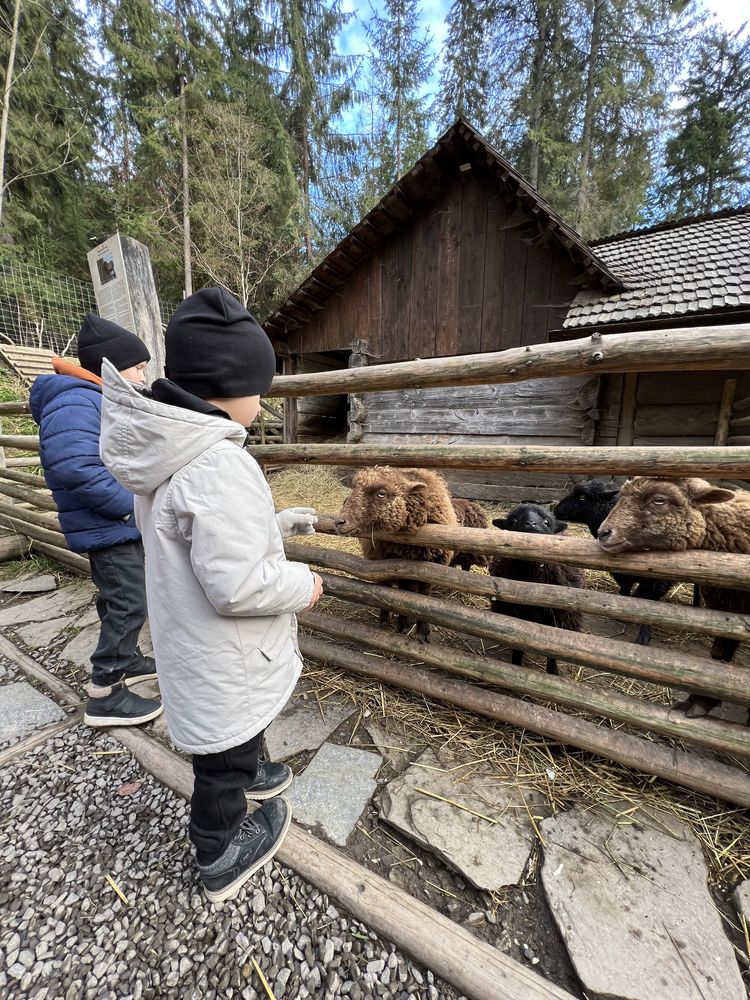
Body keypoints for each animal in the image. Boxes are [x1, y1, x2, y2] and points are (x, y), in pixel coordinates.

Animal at [334, 466, 458, 640]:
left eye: (381, 493)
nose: (339, 522)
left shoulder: (433, 568)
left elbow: (425, 598)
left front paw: (422, 631)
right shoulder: (399, 567)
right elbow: (403, 595)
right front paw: (402, 625)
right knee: (386, 589)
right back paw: (385, 620)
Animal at [552, 480, 680, 644]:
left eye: (582, 497)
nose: (555, 509)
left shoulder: (658, 579)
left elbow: (650, 604)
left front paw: (644, 636)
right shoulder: (619, 571)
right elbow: (625, 588)